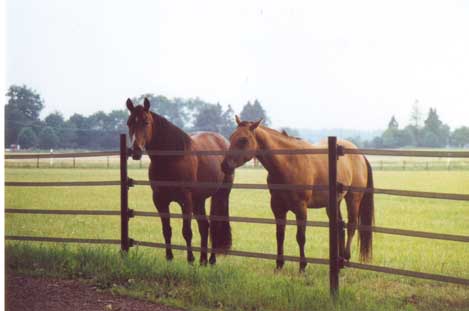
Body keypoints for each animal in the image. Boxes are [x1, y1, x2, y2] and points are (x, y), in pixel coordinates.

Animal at [125, 97, 233, 266]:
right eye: (129, 123)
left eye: (146, 122)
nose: (136, 151)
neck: (171, 159)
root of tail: (223, 141)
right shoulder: (160, 200)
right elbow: (167, 230)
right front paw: (169, 258)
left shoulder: (185, 200)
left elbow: (186, 231)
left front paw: (190, 259)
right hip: (199, 200)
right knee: (204, 226)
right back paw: (203, 260)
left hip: (221, 195)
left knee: (215, 225)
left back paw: (211, 259)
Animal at [221, 116, 374, 272]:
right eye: (231, 137)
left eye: (243, 140)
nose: (225, 165)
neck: (289, 163)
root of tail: (360, 154)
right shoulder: (277, 208)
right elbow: (280, 235)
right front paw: (279, 265)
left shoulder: (301, 208)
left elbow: (300, 237)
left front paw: (302, 267)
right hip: (333, 203)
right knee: (340, 226)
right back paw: (339, 261)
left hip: (353, 199)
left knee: (351, 226)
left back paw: (347, 257)